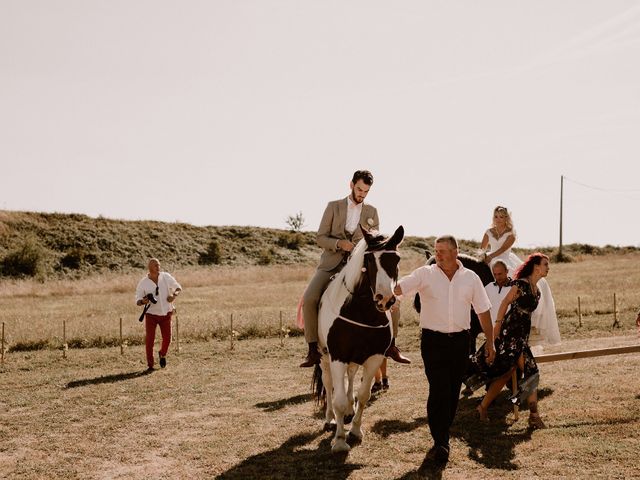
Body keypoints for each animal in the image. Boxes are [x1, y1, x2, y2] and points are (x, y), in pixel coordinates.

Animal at [312, 225, 402, 454]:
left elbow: (363, 396)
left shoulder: (374, 358)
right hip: (324, 358)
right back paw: (330, 419)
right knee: (328, 384)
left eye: (396, 258)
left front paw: (355, 430)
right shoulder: (337, 357)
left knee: (351, 376)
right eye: (369, 259)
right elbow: (338, 399)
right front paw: (339, 440)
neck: (362, 312)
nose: (385, 299)